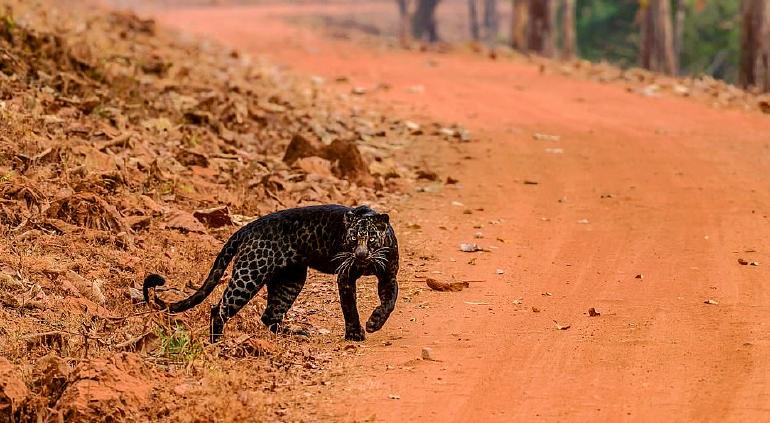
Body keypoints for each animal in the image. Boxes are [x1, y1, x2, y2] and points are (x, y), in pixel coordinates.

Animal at [140, 205, 400, 344]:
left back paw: (296, 333)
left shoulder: (388, 276)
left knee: (270, 315)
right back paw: (217, 343)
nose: (360, 255)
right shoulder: (345, 276)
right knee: (219, 309)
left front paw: (375, 322)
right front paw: (355, 333)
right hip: (250, 274)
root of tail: (246, 228)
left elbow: (390, 301)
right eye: (353, 239)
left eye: (371, 239)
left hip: (290, 279)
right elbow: (349, 307)